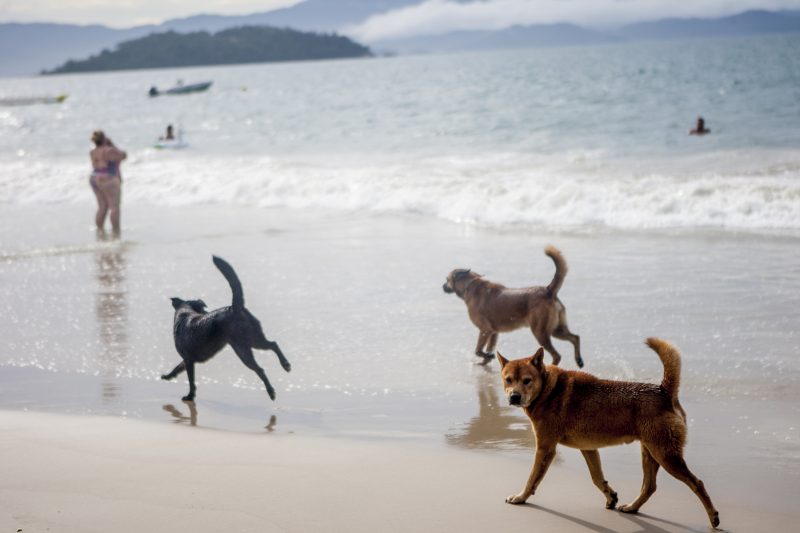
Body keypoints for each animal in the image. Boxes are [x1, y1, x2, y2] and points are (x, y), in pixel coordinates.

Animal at [160, 256, 290, 402]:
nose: (206, 311)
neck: (185, 313)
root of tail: (235, 308)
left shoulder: (188, 360)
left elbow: (191, 381)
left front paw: (189, 396)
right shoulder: (188, 360)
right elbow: (176, 368)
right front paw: (167, 376)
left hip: (242, 348)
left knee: (260, 368)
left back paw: (271, 391)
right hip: (254, 339)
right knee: (273, 344)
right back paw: (286, 364)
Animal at [444, 245, 580, 366]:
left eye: (447, 279)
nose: (442, 286)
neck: (469, 285)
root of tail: (548, 290)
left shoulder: (485, 330)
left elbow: (478, 350)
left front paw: (487, 357)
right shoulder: (493, 332)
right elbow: (489, 349)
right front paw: (485, 360)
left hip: (540, 332)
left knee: (557, 355)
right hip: (555, 329)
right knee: (575, 337)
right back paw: (579, 360)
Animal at [496, 336, 720, 528]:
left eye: (527, 380)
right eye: (508, 379)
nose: (514, 397)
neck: (547, 391)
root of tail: (663, 391)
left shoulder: (545, 448)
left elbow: (532, 478)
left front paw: (520, 497)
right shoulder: (588, 448)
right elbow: (597, 477)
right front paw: (611, 496)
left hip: (665, 455)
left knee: (697, 483)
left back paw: (713, 518)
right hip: (650, 453)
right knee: (649, 486)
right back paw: (632, 507)